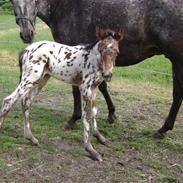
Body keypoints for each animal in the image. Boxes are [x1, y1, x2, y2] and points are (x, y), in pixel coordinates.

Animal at [0, 26, 124, 161]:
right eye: (101, 50)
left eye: (117, 51)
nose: (107, 75)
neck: (93, 59)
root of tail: (26, 50)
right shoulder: (85, 88)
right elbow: (86, 116)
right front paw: (91, 150)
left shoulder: (94, 88)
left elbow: (94, 112)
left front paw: (99, 137)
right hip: (30, 78)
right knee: (9, 100)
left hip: (41, 79)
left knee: (25, 102)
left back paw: (31, 138)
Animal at [10, 0, 183, 137]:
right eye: (12, 1)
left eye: (34, 1)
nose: (27, 34)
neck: (64, 6)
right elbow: (103, 87)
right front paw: (112, 115)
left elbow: (76, 89)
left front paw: (73, 119)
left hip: (177, 60)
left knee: (177, 95)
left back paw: (163, 129)